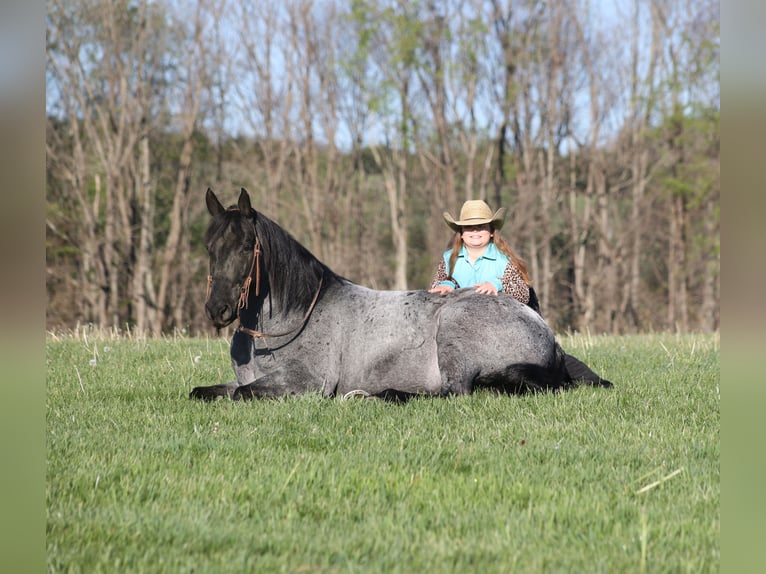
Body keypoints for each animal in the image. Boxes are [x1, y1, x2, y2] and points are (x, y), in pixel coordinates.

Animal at [190, 188, 592, 401]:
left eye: (247, 246)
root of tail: (547, 334)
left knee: (453, 391)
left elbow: (241, 394)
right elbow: (206, 390)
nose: (217, 309)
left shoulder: (306, 383)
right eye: (209, 246)